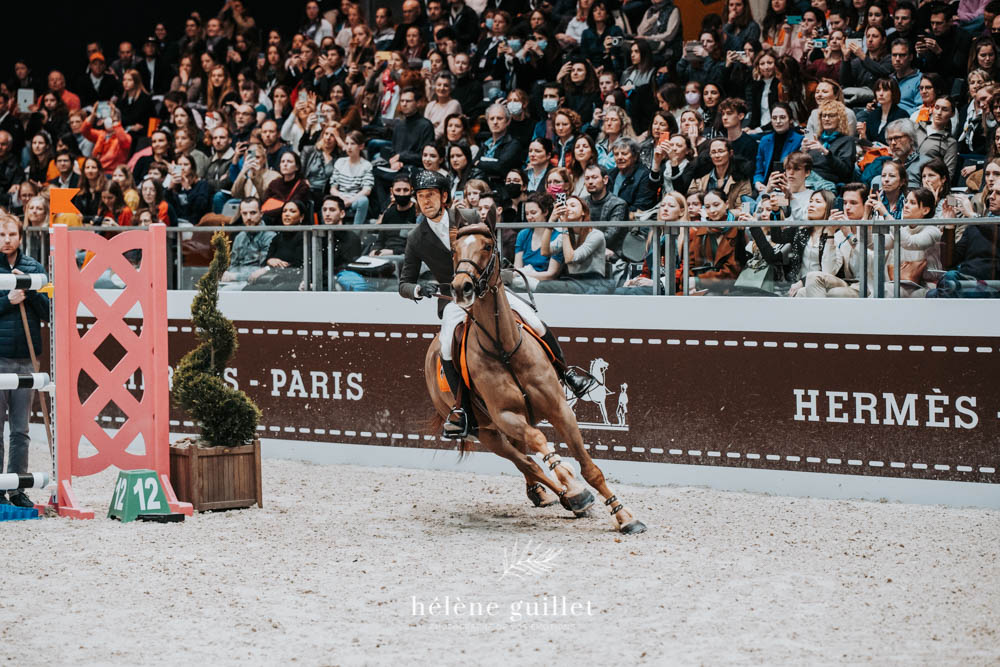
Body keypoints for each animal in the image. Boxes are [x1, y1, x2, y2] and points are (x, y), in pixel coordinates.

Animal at [422, 222, 648, 536]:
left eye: (487, 246)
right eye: (455, 250)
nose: (460, 288)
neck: (503, 348)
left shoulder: (559, 409)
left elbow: (591, 469)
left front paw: (625, 516)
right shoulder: (506, 416)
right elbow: (543, 449)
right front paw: (572, 483)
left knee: (528, 460)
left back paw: (560, 496)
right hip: (488, 432)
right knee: (528, 463)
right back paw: (573, 496)